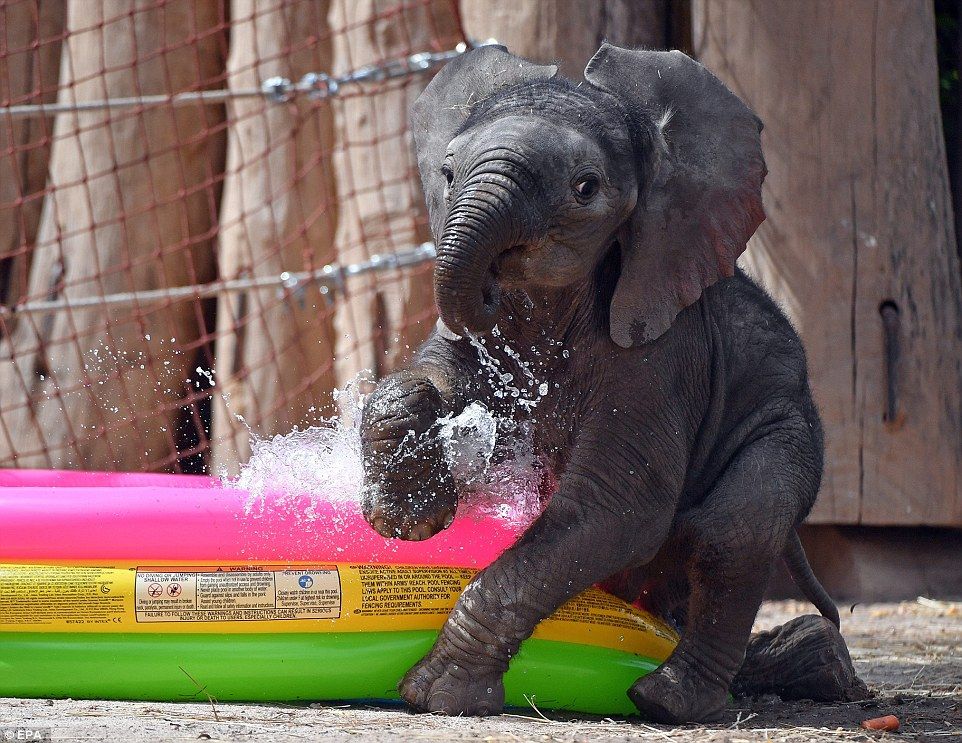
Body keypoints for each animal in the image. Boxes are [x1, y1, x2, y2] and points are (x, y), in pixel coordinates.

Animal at [358, 43, 867, 723]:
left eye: (585, 188)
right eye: (446, 174)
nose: (490, 282)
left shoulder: (664, 351)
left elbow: (616, 506)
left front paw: (435, 695)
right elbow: (436, 375)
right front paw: (411, 519)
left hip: (788, 429)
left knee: (735, 529)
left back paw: (672, 700)